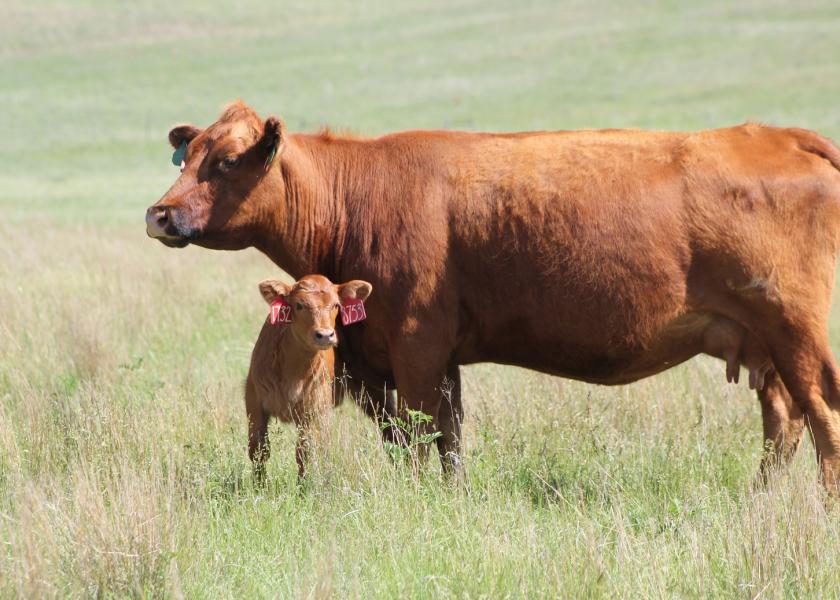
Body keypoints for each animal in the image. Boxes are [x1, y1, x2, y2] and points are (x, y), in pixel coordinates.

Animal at [244, 274, 372, 480]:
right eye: (299, 305)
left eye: (336, 305)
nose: (325, 335)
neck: (292, 372)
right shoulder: (253, 398)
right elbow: (258, 449)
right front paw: (259, 484)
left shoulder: (312, 410)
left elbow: (305, 452)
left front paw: (303, 485)